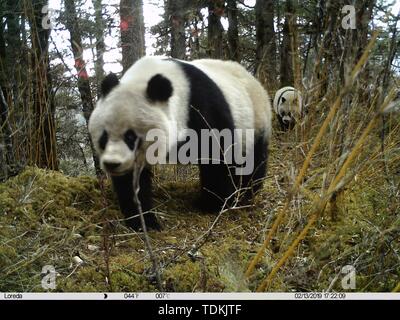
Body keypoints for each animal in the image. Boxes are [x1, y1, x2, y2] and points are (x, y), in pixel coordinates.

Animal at [88, 56, 272, 231]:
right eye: (104, 136)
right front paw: (143, 222)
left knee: (254, 158)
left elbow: (218, 155)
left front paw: (213, 204)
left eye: (130, 137)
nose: (112, 164)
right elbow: (131, 182)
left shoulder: (202, 106)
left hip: (255, 117)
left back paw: (247, 192)